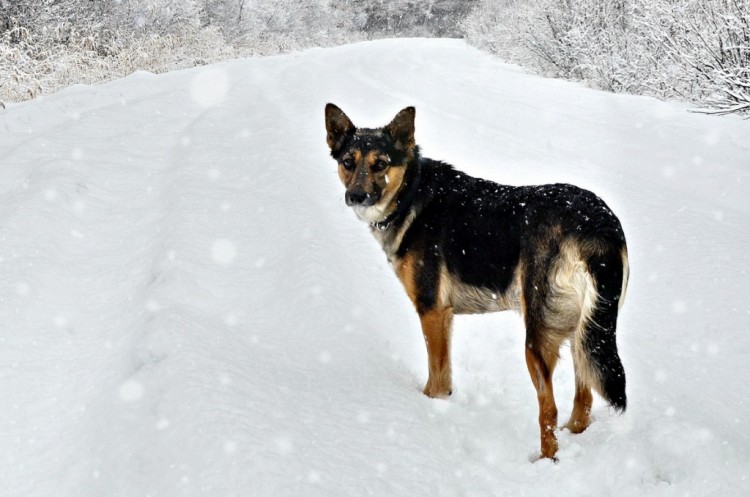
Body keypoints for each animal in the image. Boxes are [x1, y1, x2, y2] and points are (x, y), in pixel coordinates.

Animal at [326, 102, 632, 460]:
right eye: (348, 162)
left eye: (381, 164)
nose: (356, 196)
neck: (411, 193)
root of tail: (596, 227)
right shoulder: (445, 317)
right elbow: (444, 377)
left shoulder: (432, 312)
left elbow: (436, 380)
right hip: (584, 331)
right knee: (583, 400)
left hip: (538, 337)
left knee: (549, 410)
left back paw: (545, 461)